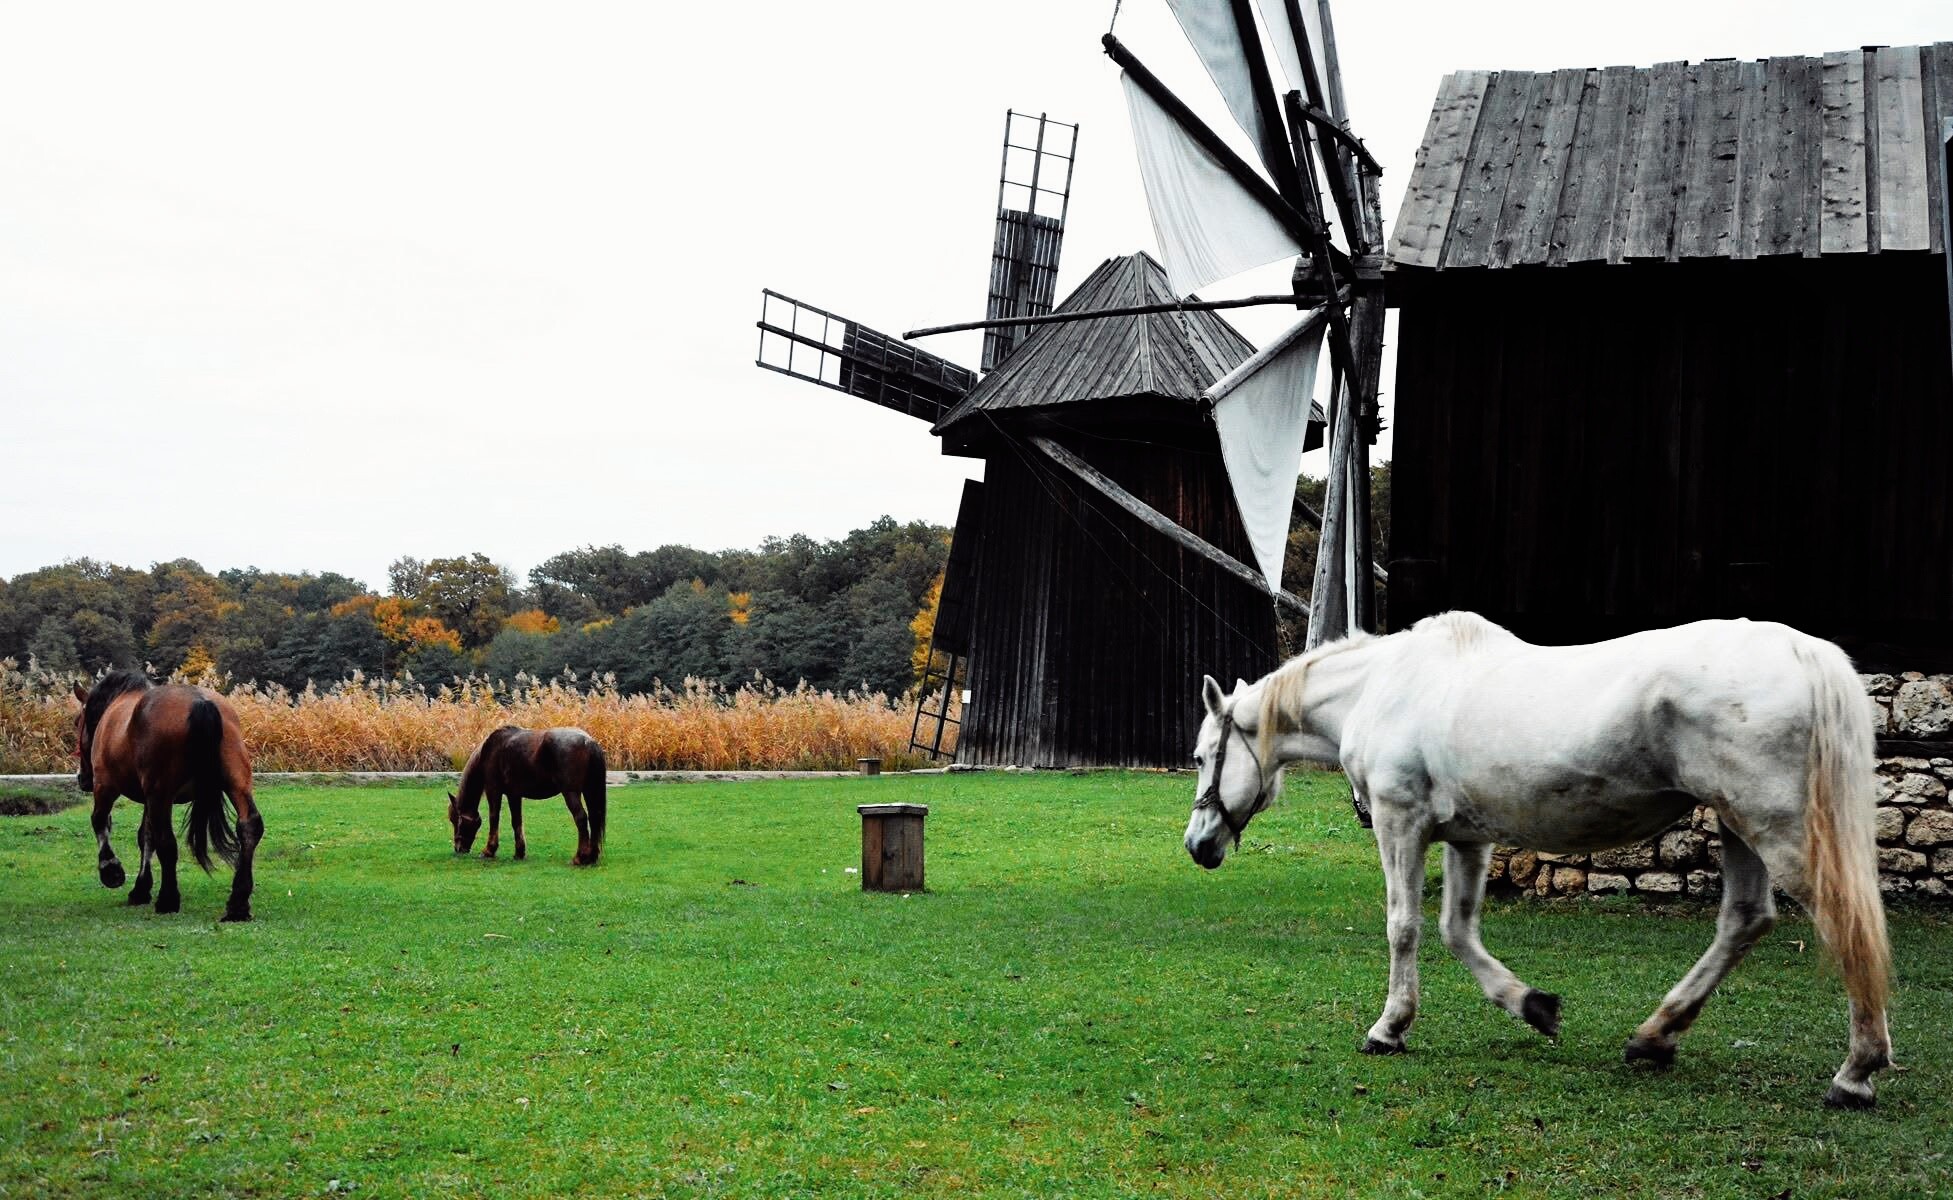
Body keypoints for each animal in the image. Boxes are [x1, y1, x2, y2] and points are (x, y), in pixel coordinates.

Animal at [73, 671, 264, 921]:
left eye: (77, 722)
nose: (82, 778)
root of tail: (201, 702)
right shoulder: (148, 799)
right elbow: (145, 836)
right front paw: (141, 889)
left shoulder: (106, 786)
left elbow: (101, 821)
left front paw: (111, 870)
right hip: (236, 781)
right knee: (249, 826)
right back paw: (238, 904)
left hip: (159, 792)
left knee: (167, 840)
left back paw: (168, 899)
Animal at [449, 726, 607, 866]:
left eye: (455, 820)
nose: (458, 849)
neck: (489, 751)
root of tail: (588, 741)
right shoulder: (513, 795)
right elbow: (516, 821)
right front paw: (519, 853)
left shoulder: (493, 790)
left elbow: (494, 818)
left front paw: (488, 851)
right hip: (589, 791)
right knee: (594, 818)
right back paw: (592, 857)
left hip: (570, 793)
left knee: (581, 818)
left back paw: (579, 858)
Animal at [1184, 611, 1893, 1108]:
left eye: (1200, 756)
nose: (1198, 845)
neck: (1382, 687)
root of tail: (1805, 653)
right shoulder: (1468, 839)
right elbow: (1458, 932)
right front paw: (1532, 1005)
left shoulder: (1400, 823)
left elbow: (1404, 927)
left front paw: (1389, 1028)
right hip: (1736, 825)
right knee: (1745, 920)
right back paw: (1655, 1036)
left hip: (1776, 829)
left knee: (1844, 927)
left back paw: (1856, 1073)